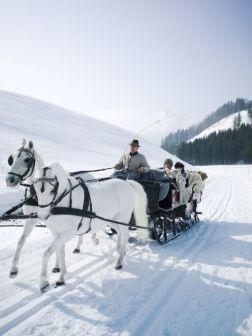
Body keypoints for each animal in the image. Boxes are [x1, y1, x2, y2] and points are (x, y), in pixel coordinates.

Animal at [5, 139, 92, 278]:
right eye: (11, 159)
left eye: (27, 159)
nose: (10, 180)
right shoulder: (31, 219)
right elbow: (21, 240)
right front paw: (14, 269)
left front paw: (57, 266)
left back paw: (78, 246)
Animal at [33, 162, 148, 292]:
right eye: (35, 189)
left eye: (53, 190)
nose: (42, 216)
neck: (65, 201)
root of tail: (127, 183)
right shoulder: (56, 232)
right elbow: (60, 253)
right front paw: (61, 277)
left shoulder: (67, 233)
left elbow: (46, 253)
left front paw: (44, 282)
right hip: (112, 219)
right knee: (119, 232)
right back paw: (120, 251)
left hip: (122, 218)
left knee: (126, 234)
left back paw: (119, 262)